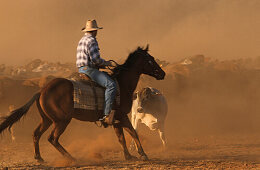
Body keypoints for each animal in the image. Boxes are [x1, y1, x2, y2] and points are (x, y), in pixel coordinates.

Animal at [0, 45, 165, 162]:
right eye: (150, 59)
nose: (162, 74)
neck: (121, 84)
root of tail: (41, 91)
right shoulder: (121, 116)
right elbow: (131, 134)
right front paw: (142, 154)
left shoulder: (117, 119)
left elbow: (124, 136)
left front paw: (130, 156)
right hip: (62, 121)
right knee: (52, 138)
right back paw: (71, 158)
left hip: (47, 120)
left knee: (36, 134)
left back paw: (39, 158)